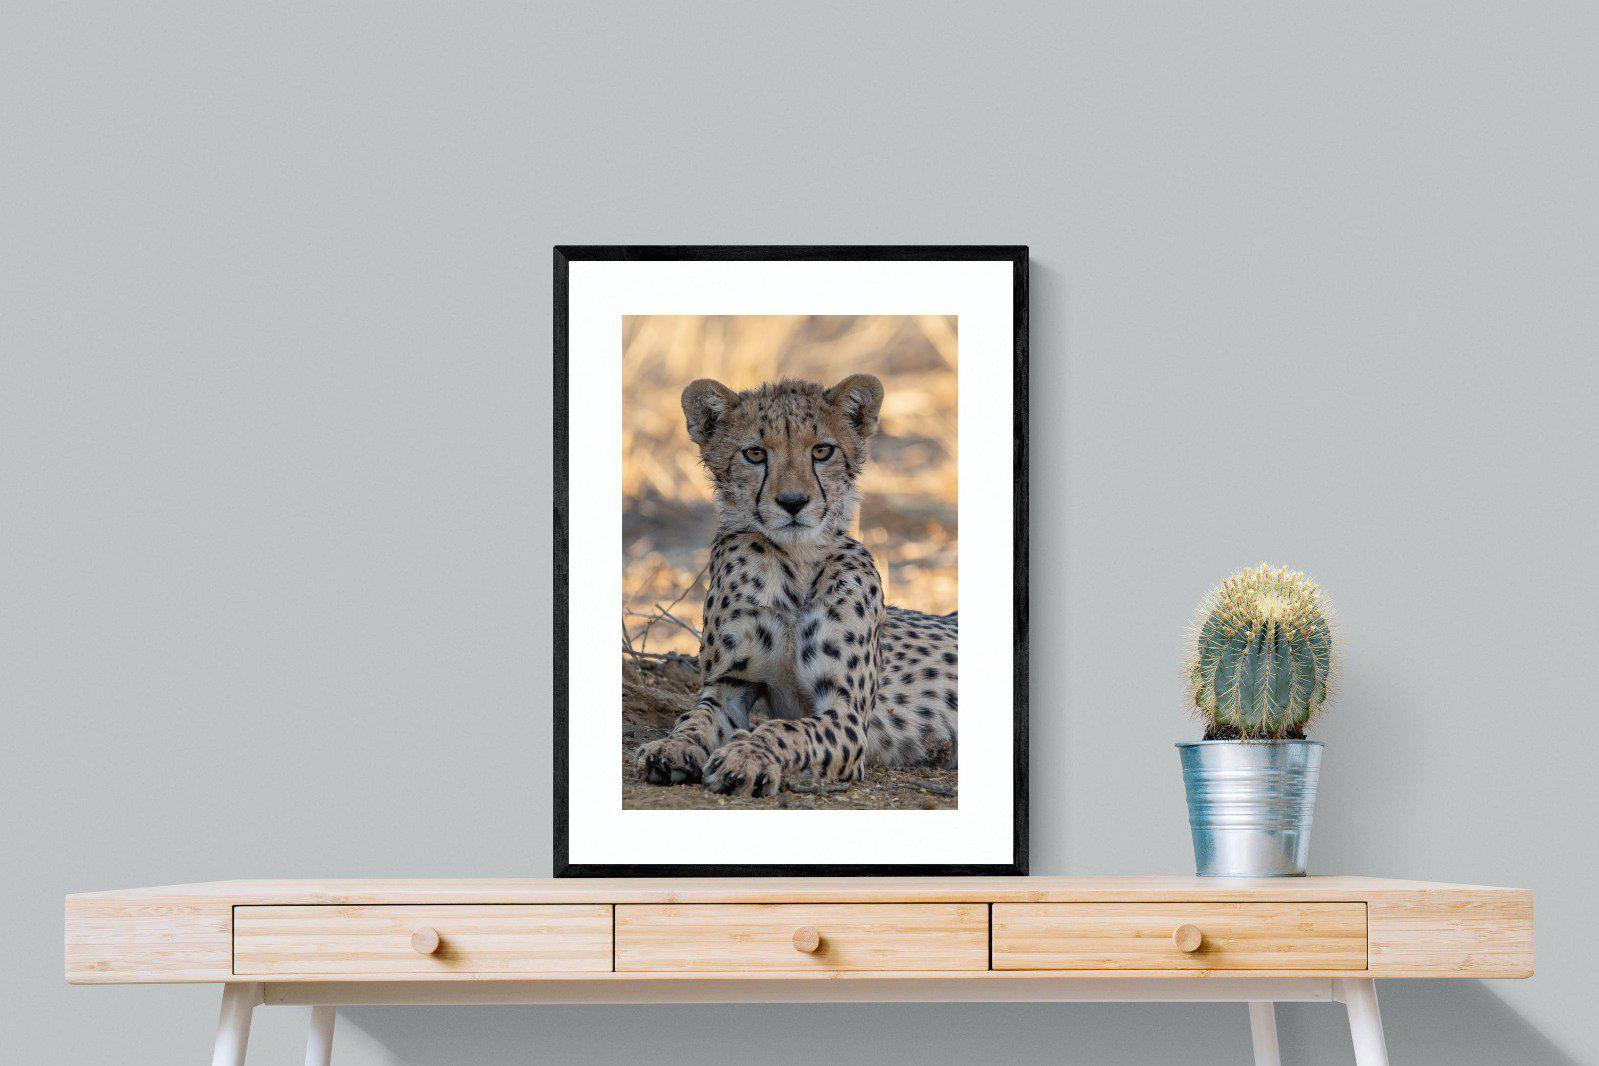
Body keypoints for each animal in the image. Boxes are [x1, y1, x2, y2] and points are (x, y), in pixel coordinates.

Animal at [633, 372, 957, 799]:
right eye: (755, 454)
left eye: (822, 450)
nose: (792, 502)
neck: (796, 563)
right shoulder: (729, 686)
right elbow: (694, 718)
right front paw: (671, 747)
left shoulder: (846, 714)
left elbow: (785, 729)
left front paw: (746, 757)